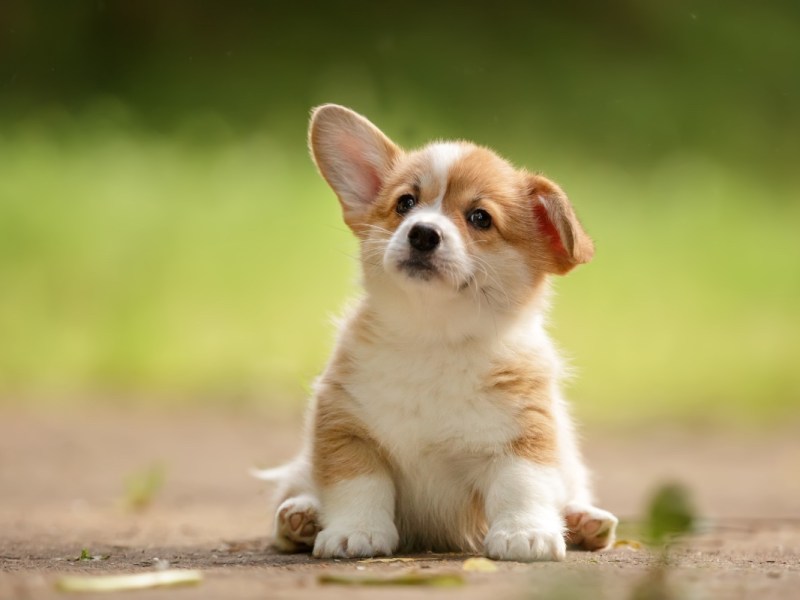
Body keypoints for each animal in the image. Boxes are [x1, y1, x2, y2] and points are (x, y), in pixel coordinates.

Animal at [256, 104, 620, 564]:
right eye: (405, 204)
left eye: (480, 218)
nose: (422, 233)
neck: (436, 338)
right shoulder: (346, 427)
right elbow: (358, 485)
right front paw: (353, 533)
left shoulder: (525, 436)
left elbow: (522, 486)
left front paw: (526, 535)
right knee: (296, 489)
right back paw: (300, 517)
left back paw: (582, 520)